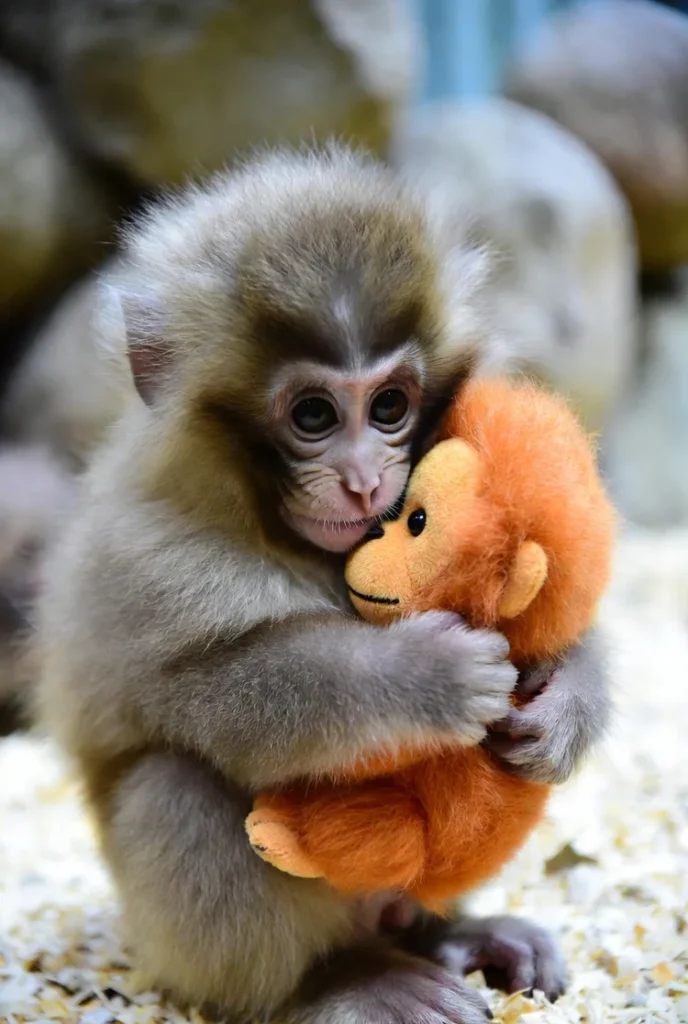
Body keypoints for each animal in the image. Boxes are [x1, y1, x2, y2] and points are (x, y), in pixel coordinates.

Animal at [37, 146, 611, 1023]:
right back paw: (338, 980)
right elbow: (216, 700)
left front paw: (568, 705)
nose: (364, 479)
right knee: (174, 781)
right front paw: (424, 675)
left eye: (390, 404)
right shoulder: (147, 554)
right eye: (312, 416)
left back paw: (458, 936)